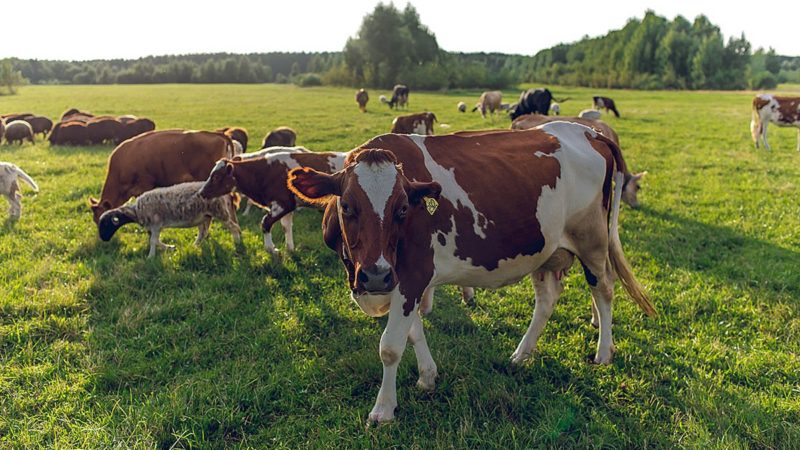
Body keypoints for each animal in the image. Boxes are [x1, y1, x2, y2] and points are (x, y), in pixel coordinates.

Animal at [99, 181, 241, 258]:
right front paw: (170, 248)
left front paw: (150, 257)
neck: (136, 211)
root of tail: (226, 193)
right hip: (205, 216)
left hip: (219, 211)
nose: (103, 239)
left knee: (234, 227)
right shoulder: (155, 227)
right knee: (203, 233)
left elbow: (153, 241)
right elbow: (156, 241)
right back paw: (194, 245)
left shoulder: (156, 224)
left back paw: (237, 243)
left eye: (105, 225)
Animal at [198, 148, 346, 253]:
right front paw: (289, 249)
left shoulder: (282, 204)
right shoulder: (287, 207)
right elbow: (286, 226)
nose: (201, 193)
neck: (263, 172)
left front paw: (272, 249)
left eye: (216, 177)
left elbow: (265, 223)